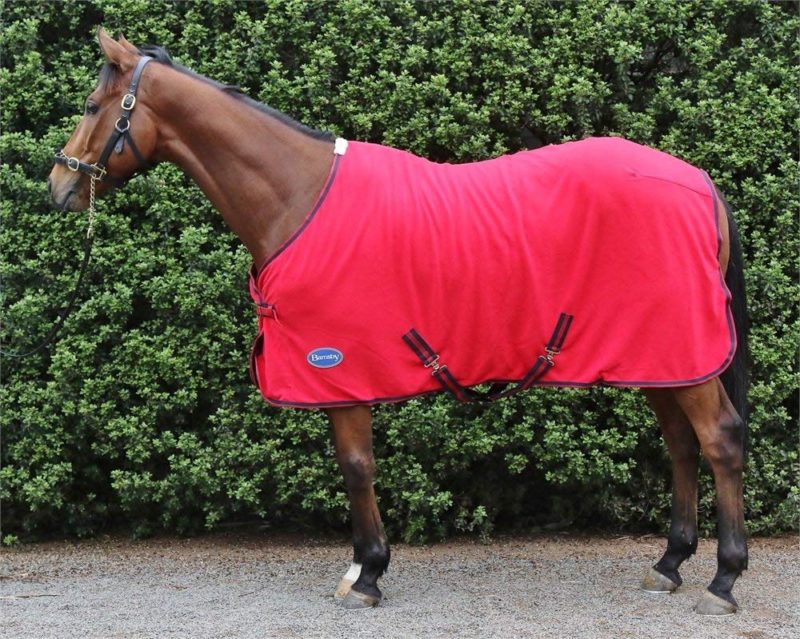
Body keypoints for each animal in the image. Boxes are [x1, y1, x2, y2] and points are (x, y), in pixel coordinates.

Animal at [48, 30, 749, 615]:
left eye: (90, 103)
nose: (56, 185)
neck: (298, 197)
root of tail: (699, 181)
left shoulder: (341, 369)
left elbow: (357, 465)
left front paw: (369, 573)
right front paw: (364, 567)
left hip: (683, 359)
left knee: (718, 439)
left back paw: (723, 580)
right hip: (661, 356)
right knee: (682, 443)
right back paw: (669, 563)